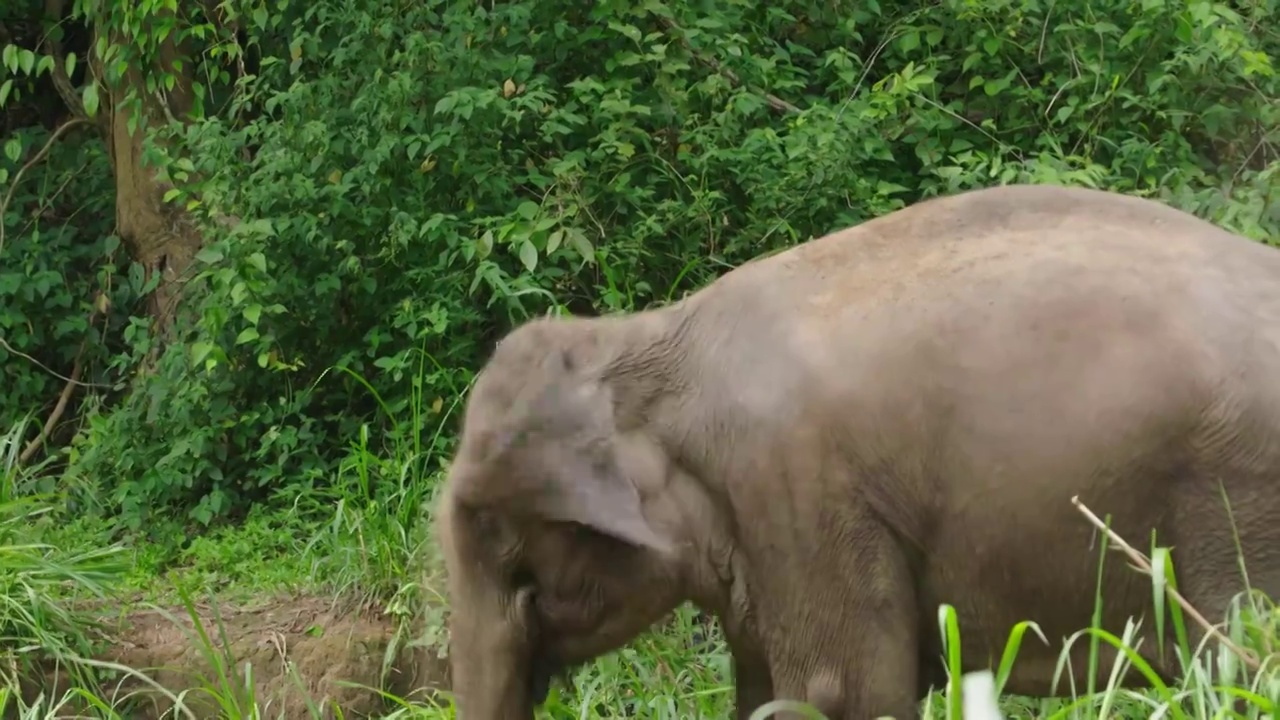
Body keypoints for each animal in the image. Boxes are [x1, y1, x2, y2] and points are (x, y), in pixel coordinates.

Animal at [435, 183, 1280, 717]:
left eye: (500, 543)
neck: (645, 338)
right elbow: (765, 694)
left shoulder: (803, 493)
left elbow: (842, 694)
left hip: (1238, 497)